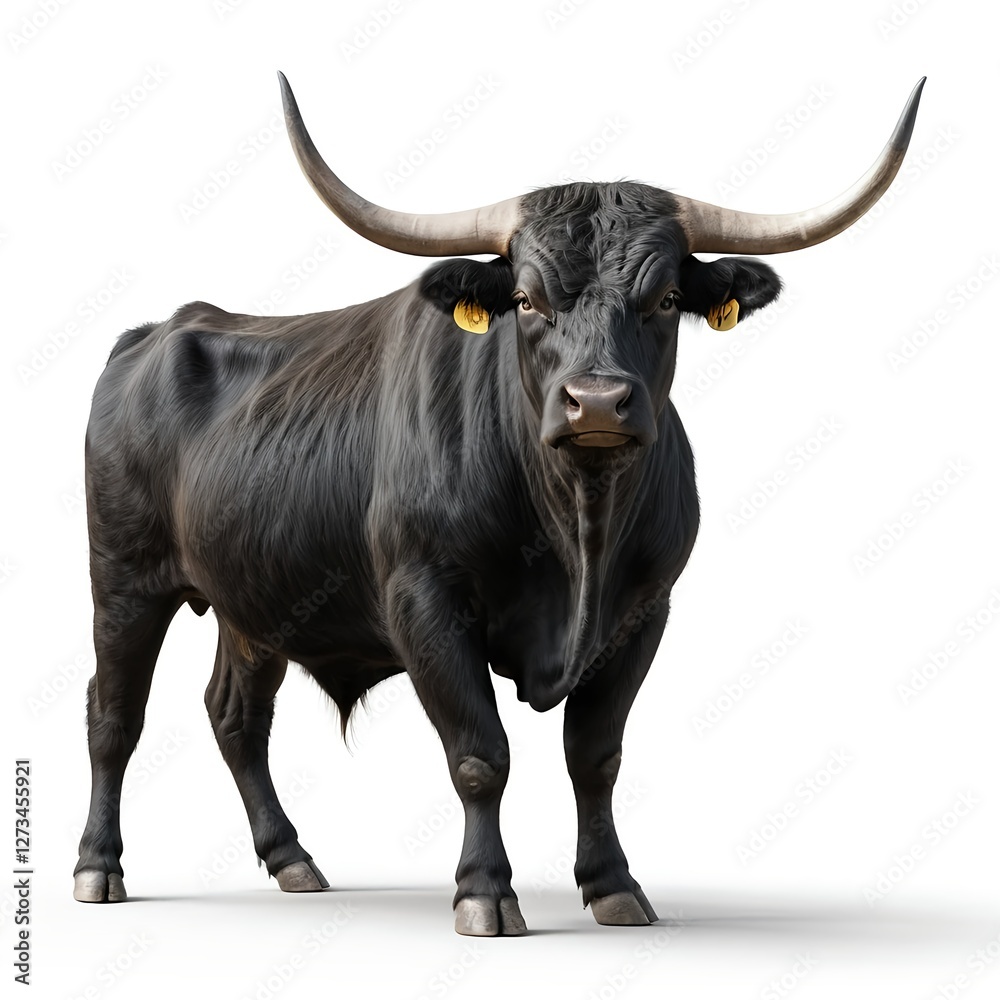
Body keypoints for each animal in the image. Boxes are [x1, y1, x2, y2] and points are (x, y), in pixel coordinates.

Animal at [74, 73, 925, 935]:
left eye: (665, 297)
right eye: (524, 297)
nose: (597, 402)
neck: (578, 531)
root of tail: (158, 331)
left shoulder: (644, 611)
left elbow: (596, 755)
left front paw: (612, 883)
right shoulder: (426, 601)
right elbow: (481, 755)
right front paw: (484, 889)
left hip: (254, 600)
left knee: (236, 716)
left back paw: (292, 859)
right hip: (125, 582)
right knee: (114, 715)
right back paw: (97, 866)